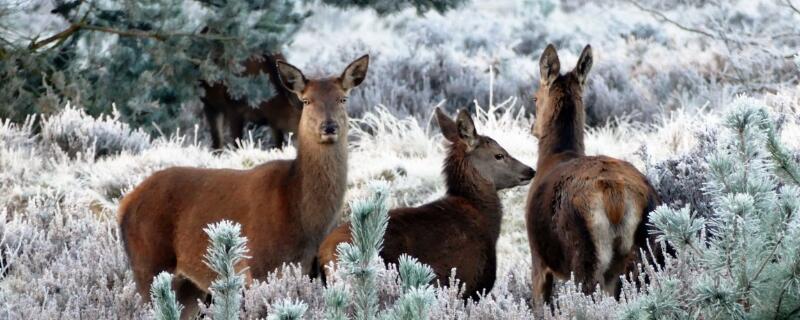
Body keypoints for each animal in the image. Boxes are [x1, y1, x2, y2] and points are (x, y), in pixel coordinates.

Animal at [120, 54, 370, 318]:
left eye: (342, 98)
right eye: (307, 100)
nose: (329, 126)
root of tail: (124, 204)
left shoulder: (312, 271)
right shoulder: (258, 267)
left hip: (187, 285)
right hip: (148, 264)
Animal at [524, 43, 664, 312]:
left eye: (535, 97)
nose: (532, 128)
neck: (554, 156)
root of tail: (616, 196)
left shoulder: (538, 256)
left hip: (585, 253)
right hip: (646, 252)